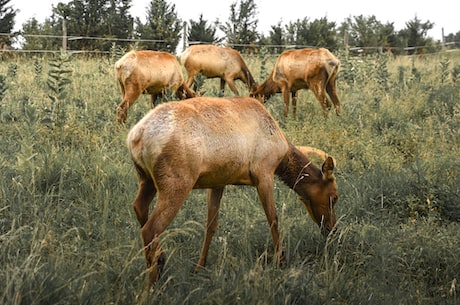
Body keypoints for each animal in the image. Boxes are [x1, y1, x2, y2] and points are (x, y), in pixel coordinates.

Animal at [126, 96, 338, 284]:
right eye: (334, 197)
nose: (332, 229)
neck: (283, 152)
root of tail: (137, 136)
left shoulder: (217, 182)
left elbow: (211, 225)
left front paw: (200, 267)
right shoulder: (264, 173)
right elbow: (273, 219)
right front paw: (281, 260)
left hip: (146, 179)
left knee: (138, 207)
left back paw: (160, 259)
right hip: (177, 182)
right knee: (150, 228)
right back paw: (154, 280)